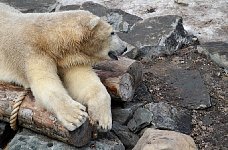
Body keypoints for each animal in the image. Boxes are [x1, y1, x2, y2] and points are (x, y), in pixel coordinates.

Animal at [0, 2, 124, 131]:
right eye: (112, 32)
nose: (124, 48)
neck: (48, 37)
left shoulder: (68, 58)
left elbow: (82, 80)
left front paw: (103, 120)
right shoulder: (31, 53)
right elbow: (45, 83)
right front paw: (76, 116)